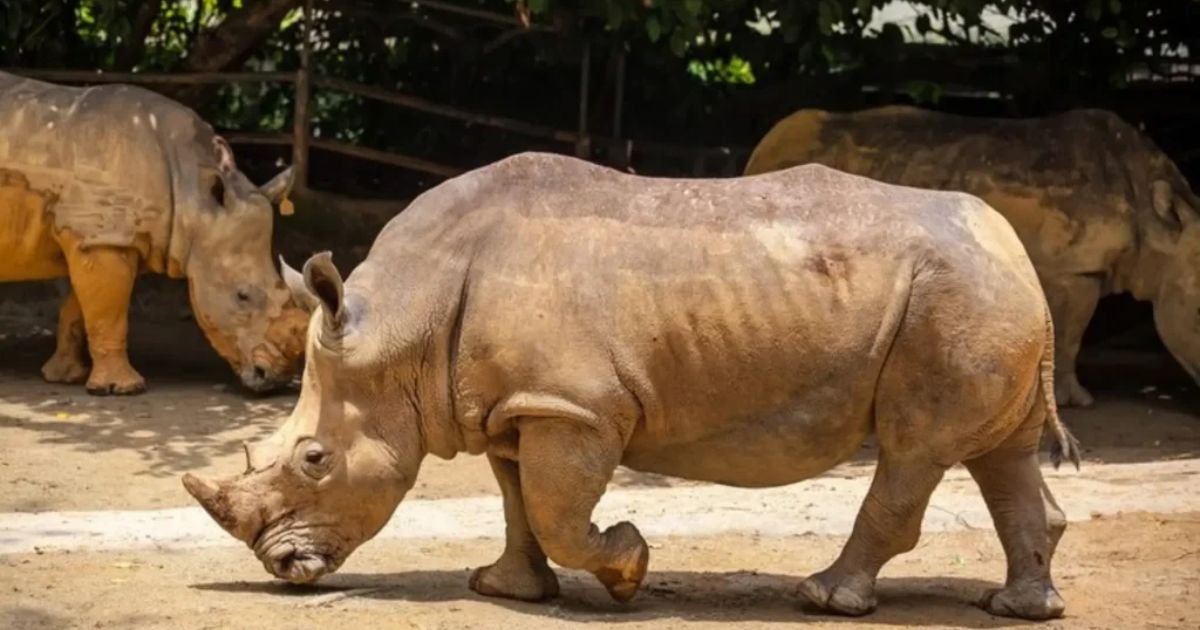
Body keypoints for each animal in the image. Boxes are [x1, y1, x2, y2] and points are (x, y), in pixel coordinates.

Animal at [0, 71, 309, 394]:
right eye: (242, 296)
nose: (275, 379)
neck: (190, 190)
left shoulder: (100, 236)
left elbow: (79, 308)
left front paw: (65, 376)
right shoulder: (104, 238)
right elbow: (109, 314)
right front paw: (121, 389)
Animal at [183, 153, 1079, 620]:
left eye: (314, 460)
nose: (280, 568)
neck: (402, 325)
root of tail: (1015, 249)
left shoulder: (574, 408)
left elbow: (557, 510)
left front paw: (628, 570)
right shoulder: (512, 404)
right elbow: (519, 503)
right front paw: (504, 588)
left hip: (953, 299)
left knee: (913, 450)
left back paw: (825, 597)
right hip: (979, 296)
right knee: (999, 455)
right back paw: (1019, 608)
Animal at [743, 105, 1200, 407]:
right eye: (1197, 316)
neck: (1155, 226)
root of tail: (760, 149)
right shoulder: (1076, 269)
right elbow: (1071, 333)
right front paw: (1077, 400)